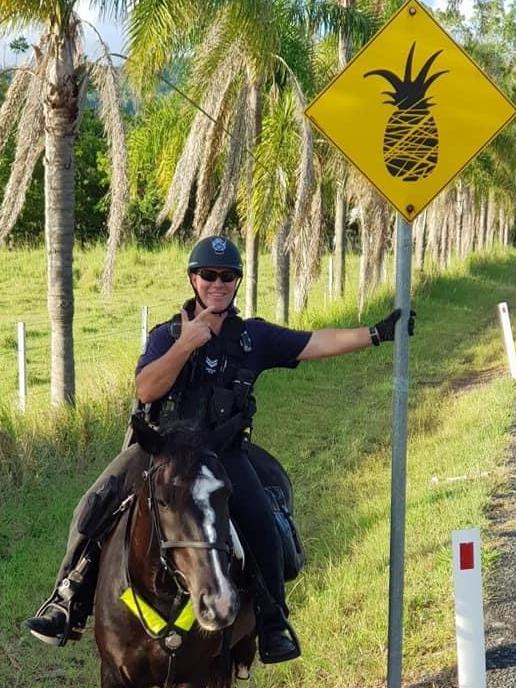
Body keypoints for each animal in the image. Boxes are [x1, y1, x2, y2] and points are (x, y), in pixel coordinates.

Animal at [93, 420, 294, 688]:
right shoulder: (113, 673)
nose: (219, 603)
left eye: (228, 494)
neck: (160, 597)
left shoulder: (194, 675)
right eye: (163, 500)